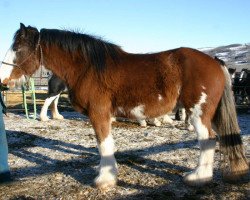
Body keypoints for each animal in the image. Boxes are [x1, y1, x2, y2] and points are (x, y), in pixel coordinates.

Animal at [0, 23, 249, 189]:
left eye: (18, 48)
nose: (3, 80)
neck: (88, 67)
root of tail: (214, 61)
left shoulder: (99, 114)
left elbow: (104, 145)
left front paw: (105, 180)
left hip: (199, 113)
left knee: (208, 140)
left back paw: (198, 177)